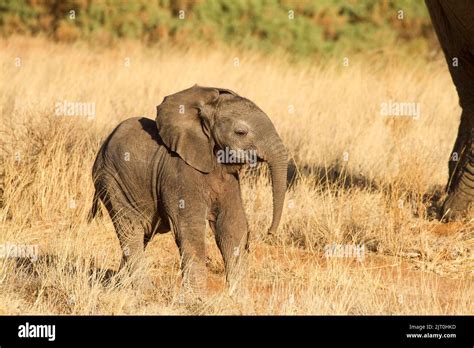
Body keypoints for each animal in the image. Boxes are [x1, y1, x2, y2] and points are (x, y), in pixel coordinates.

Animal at [89, 85, 288, 294]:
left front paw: (238, 295)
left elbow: (232, 225)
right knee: (131, 230)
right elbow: (189, 228)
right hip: (112, 181)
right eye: (241, 132)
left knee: (142, 234)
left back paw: (118, 286)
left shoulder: (229, 177)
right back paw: (145, 290)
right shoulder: (179, 172)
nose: (270, 232)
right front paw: (197, 297)